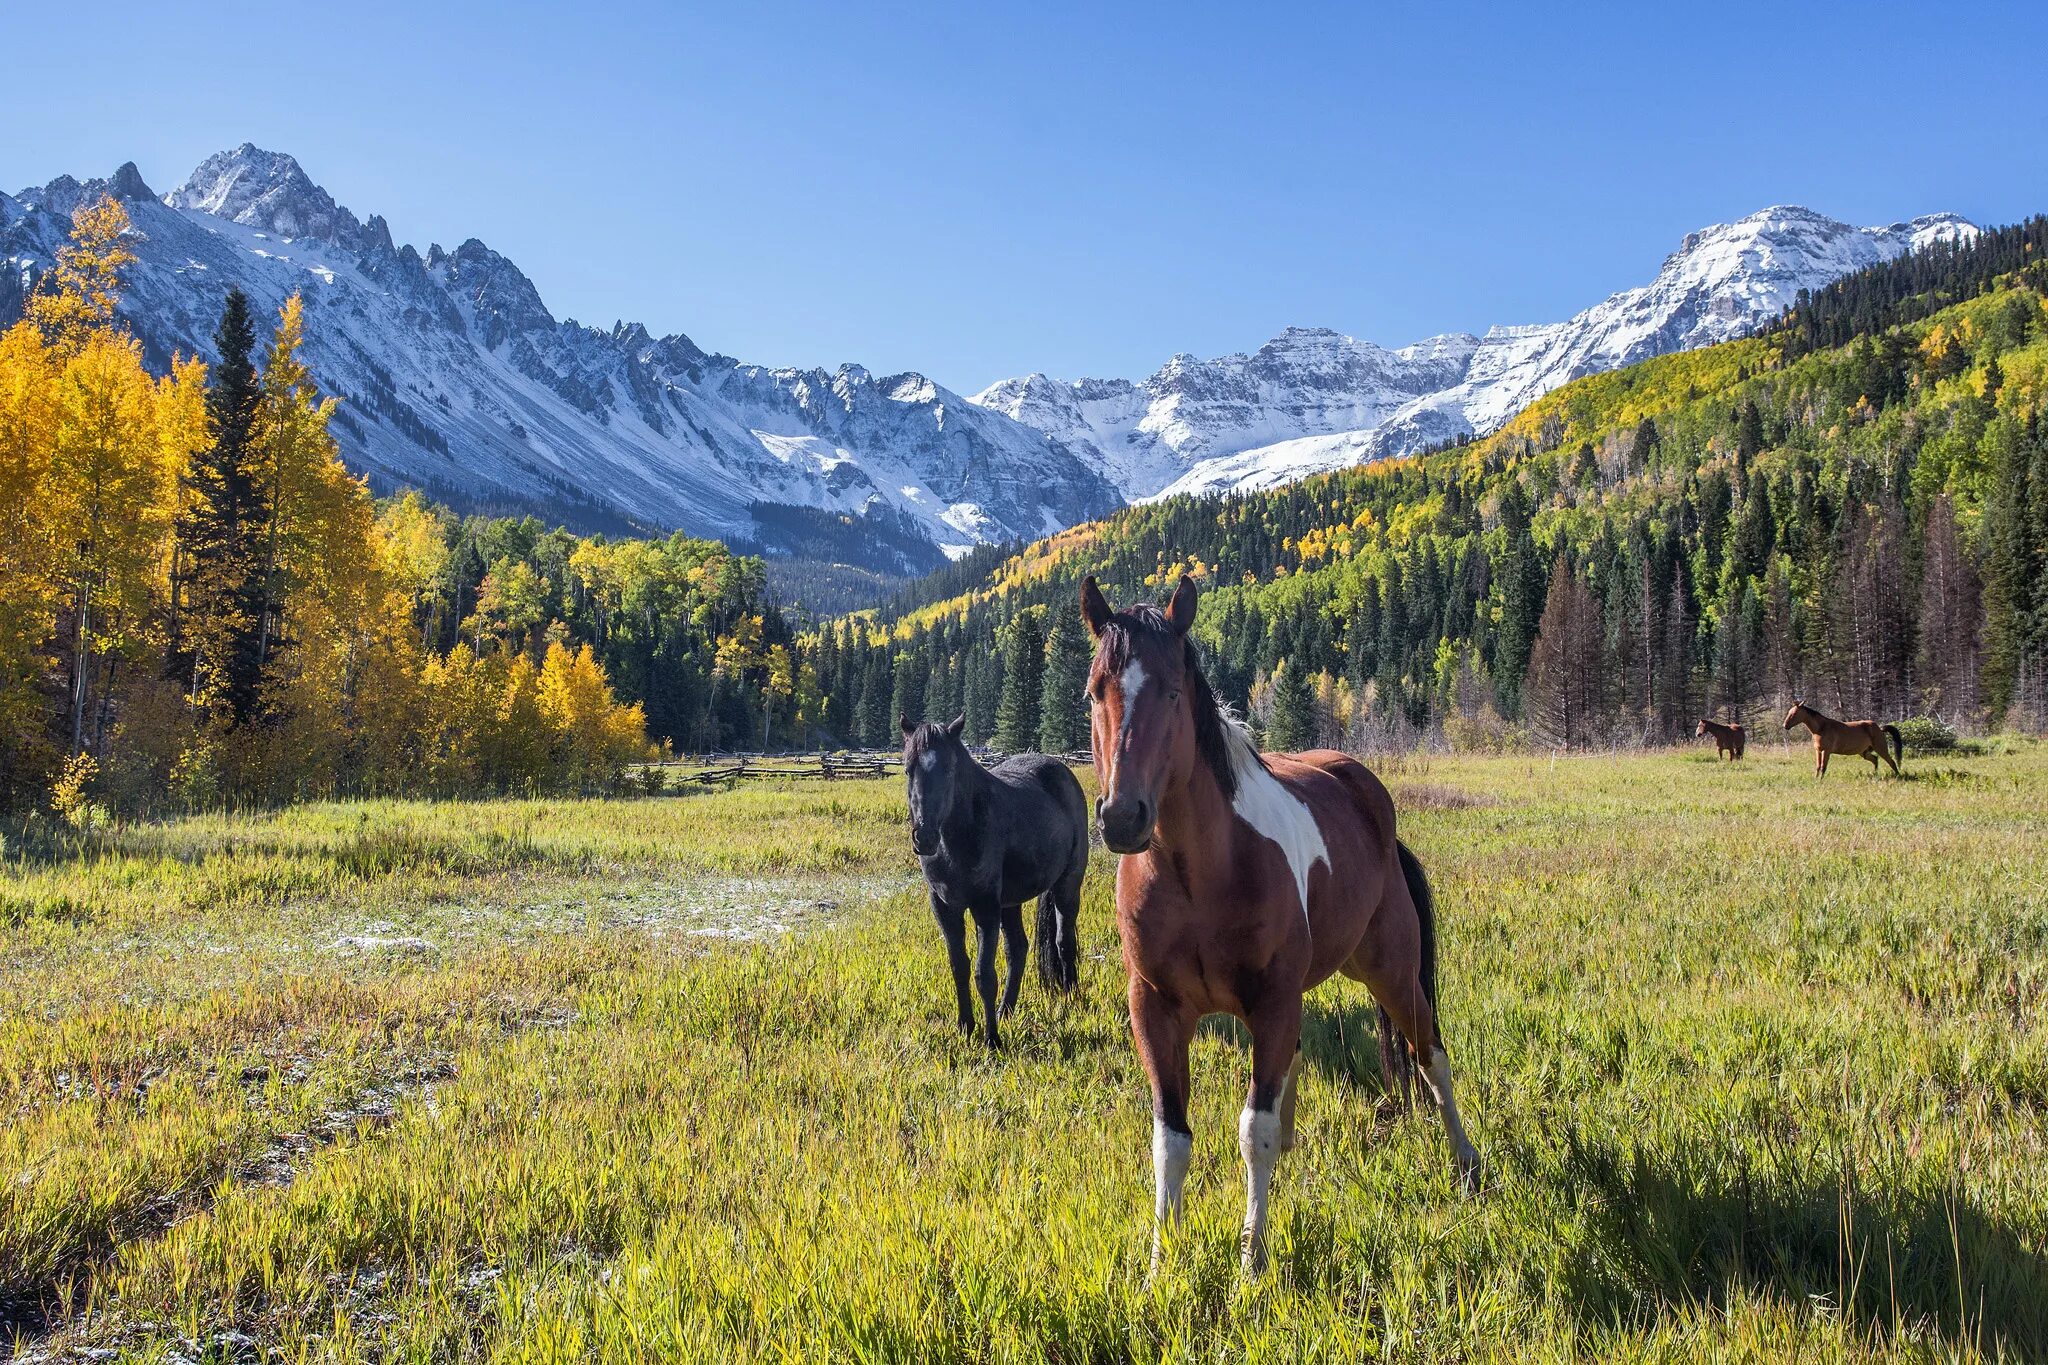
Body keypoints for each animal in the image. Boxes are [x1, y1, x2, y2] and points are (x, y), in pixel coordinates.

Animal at [897, 716, 1089, 1047]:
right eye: (909, 769)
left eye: (949, 769)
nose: (924, 837)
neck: (957, 840)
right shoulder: (945, 907)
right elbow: (959, 967)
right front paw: (965, 1025)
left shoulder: (985, 907)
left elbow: (984, 974)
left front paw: (992, 1040)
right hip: (1010, 904)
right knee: (1018, 950)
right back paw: (1005, 1011)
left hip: (1067, 886)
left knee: (1064, 941)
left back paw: (1069, 998)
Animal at [1081, 573, 1482, 1277]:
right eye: (1094, 691)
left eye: (1174, 691)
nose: (1123, 817)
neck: (1202, 874)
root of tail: (1372, 800)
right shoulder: (1155, 1009)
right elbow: (1171, 1139)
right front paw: (1161, 1263)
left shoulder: (1270, 1004)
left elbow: (1254, 1133)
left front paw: (1251, 1260)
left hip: (1393, 974)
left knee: (1431, 1055)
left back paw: (1466, 1164)